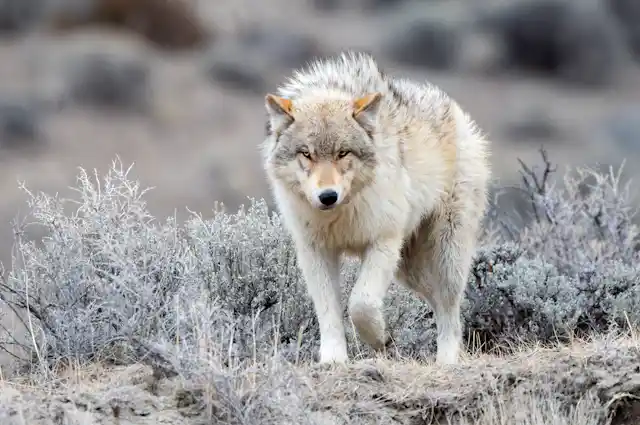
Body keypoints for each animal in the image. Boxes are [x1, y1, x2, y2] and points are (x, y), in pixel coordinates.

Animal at [260, 51, 491, 365]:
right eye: (306, 154)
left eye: (342, 153)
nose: (327, 196)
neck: (340, 216)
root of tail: (455, 110)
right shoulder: (315, 251)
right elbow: (329, 311)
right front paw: (333, 359)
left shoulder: (384, 242)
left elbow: (361, 304)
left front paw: (378, 338)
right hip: (409, 270)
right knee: (435, 302)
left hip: (446, 257)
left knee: (450, 310)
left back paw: (447, 361)